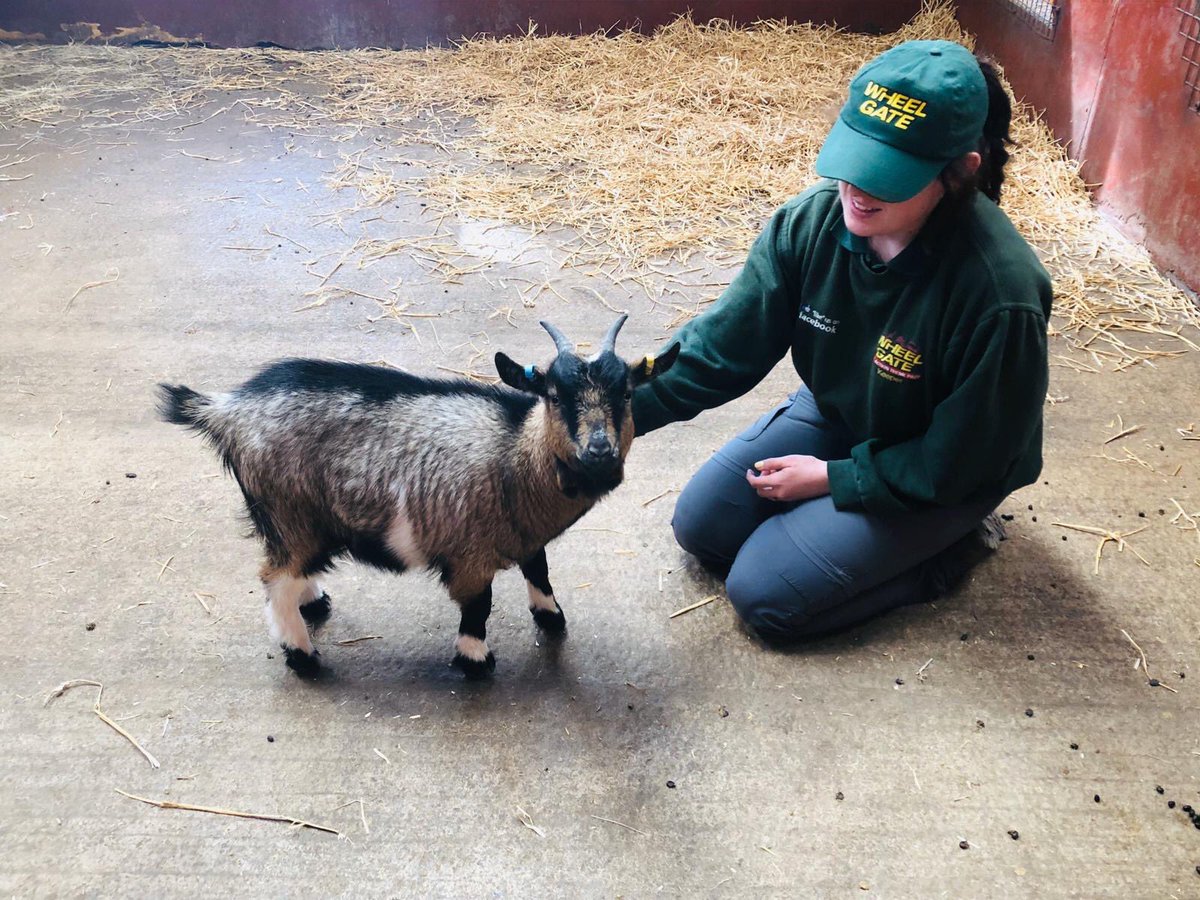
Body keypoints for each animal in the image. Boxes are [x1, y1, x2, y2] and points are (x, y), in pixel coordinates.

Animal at [157, 315, 679, 679]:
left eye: (626, 393)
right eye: (554, 394)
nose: (599, 452)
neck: (513, 454)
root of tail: (225, 410)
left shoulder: (523, 534)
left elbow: (539, 568)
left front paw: (550, 616)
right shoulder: (470, 551)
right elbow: (479, 605)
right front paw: (475, 660)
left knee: (289, 573)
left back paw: (313, 602)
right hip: (292, 514)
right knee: (275, 579)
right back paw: (303, 656)